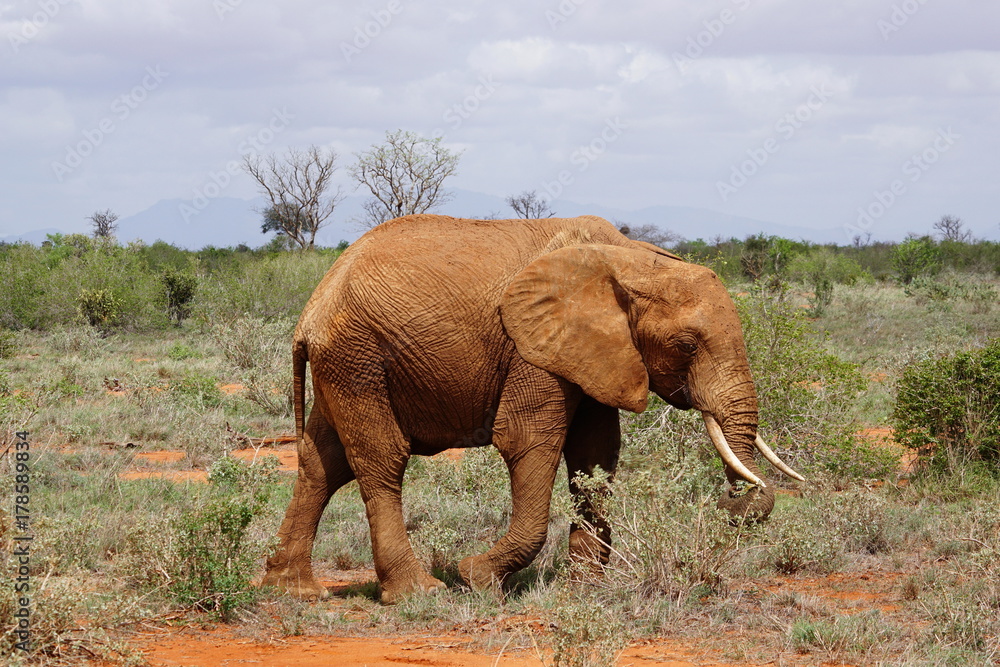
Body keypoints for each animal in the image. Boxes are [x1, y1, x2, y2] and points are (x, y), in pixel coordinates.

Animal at [262, 215, 800, 604]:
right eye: (687, 345)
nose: (733, 500)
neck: (634, 260)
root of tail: (311, 310)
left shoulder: (594, 352)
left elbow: (595, 455)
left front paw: (585, 587)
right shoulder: (532, 347)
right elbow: (527, 440)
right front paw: (476, 579)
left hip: (343, 362)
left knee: (322, 463)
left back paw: (294, 591)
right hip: (358, 357)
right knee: (381, 459)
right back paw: (419, 595)